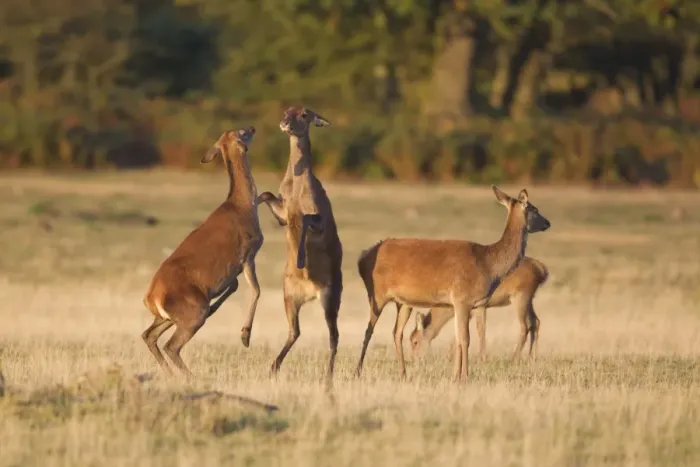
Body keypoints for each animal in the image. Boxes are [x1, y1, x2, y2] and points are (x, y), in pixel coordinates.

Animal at [142, 126, 263, 377]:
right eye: (241, 132)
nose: (253, 128)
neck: (244, 207)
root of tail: (151, 298)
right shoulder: (248, 253)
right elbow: (256, 290)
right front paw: (245, 335)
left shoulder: (234, 270)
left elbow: (235, 286)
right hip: (192, 312)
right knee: (171, 345)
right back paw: (190, 378)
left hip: (168, 317)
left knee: (149, 336)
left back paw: (171, 375)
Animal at [256, 107, 342, 386]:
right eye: (287, 110)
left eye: (305, 114)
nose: (285, 123)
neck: (297, 190)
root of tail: (309, 295)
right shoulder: (283, 208)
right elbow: (265, 195)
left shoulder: (320, 216)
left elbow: (304, 220)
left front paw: (302, 258)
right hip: (288, 295)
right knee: (295, 331)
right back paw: (272, 368)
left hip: (330, 297)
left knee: (334, 336)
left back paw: (328, 377)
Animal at [408, 256, 549, 365]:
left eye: (415, 341)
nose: (415, 360)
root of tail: (540, 267)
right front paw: (449, 357)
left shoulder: (479, 308)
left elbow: (480, 330)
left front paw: (481, 359)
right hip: (529, 300)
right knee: (535, 322)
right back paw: (532, 358)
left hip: (520, 298)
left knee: (525, 326)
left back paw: (514, 359)